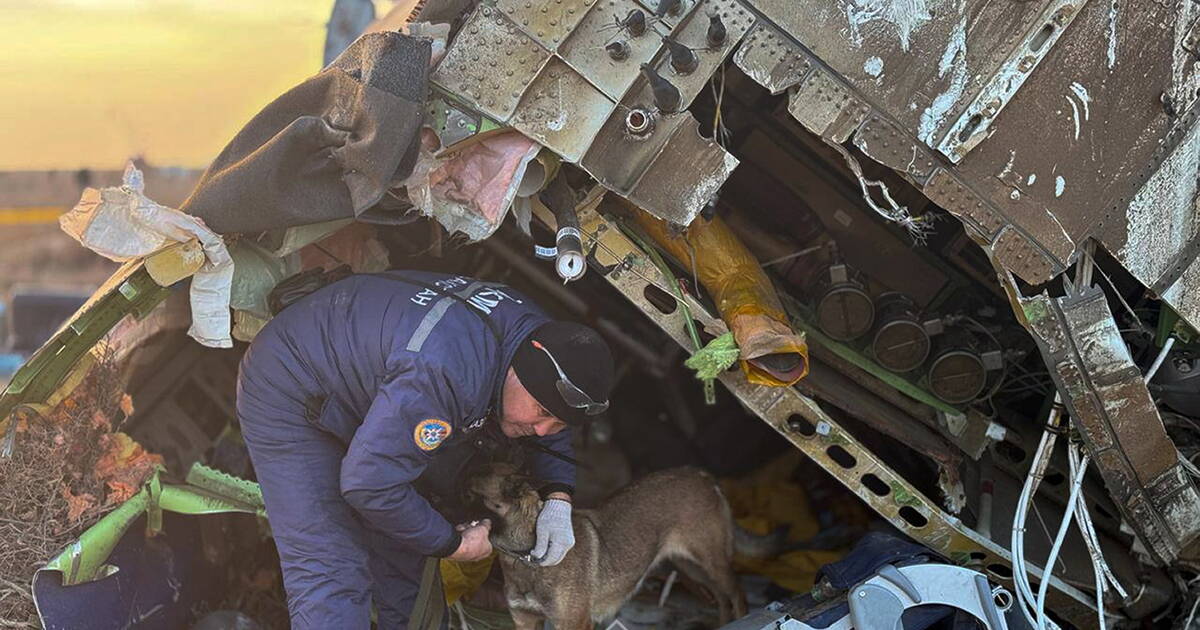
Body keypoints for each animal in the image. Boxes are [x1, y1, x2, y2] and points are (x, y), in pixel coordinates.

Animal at [465, 460, 739, 628]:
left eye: (467, 491)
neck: (527, 557)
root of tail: (702, 475)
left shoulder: (574, 623)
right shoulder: (525, 620)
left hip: (711, 563)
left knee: (737, 596)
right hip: (690, 566)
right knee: (722, 599)